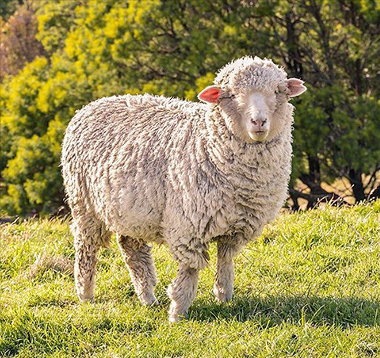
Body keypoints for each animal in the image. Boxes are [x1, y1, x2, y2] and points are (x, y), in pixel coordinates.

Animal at [60, 55, 308, 322]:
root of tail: (91, 105)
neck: (208, 143)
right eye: (231, 95)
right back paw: (86, 294)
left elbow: (226, 260)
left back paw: (147, 297)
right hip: (84, 203)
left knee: (132, 249)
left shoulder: (237, 226)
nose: (259, 121)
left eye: (278, 91)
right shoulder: (189, 225)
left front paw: (224, 296)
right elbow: (189, 270)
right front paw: (178, 312)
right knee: (86, 247)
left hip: (130, 209)